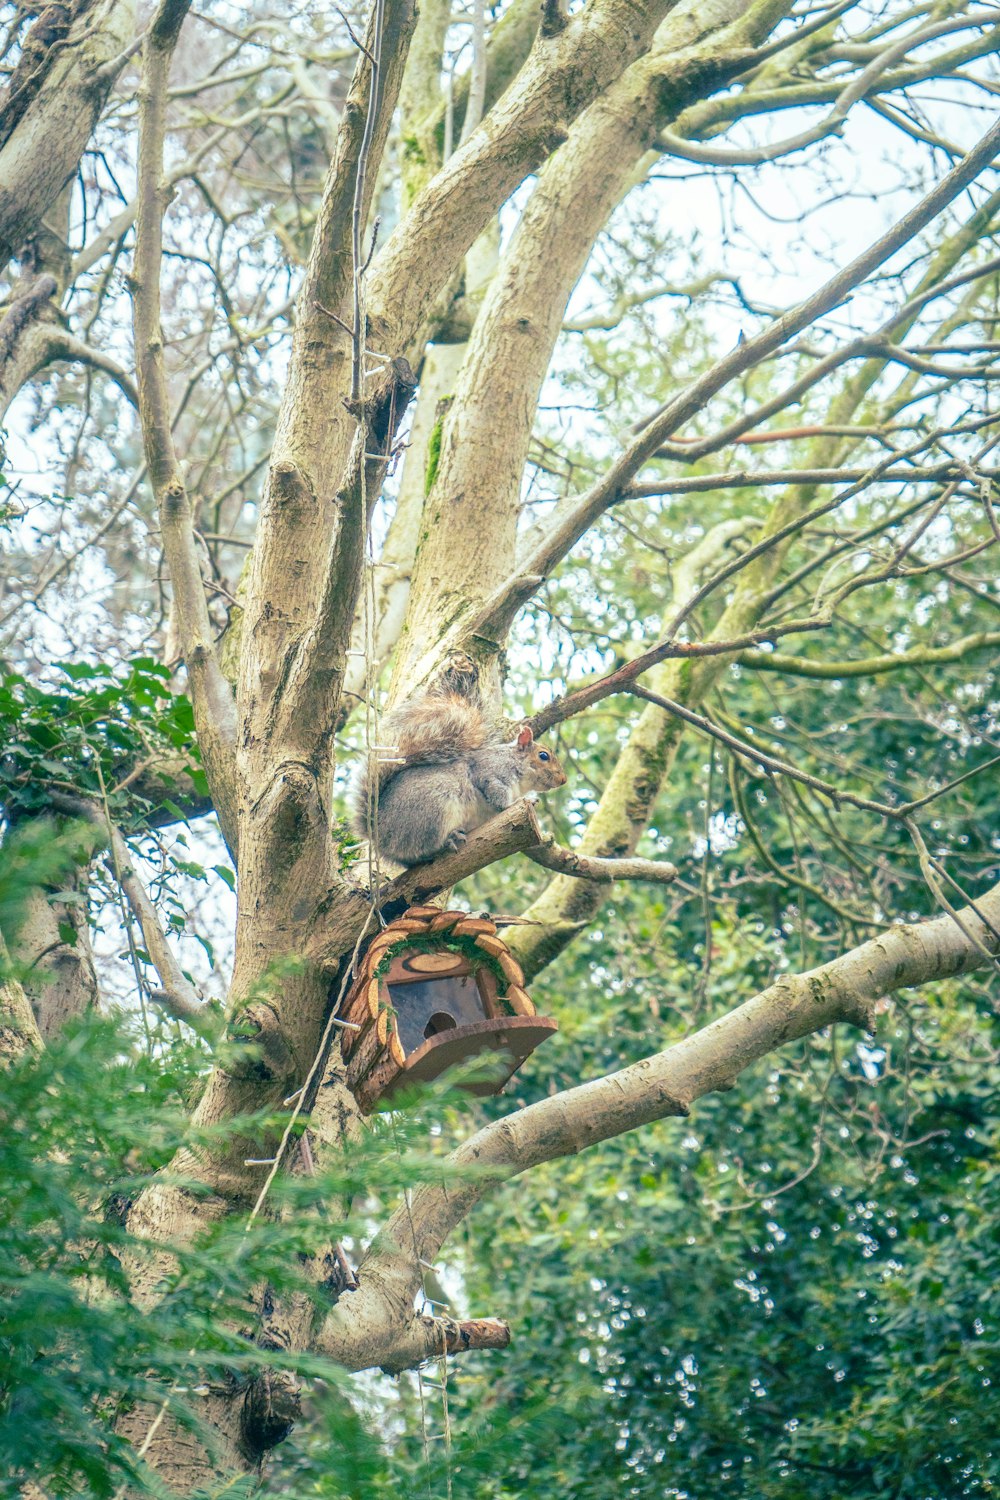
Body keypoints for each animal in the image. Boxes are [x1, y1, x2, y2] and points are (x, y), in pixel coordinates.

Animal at [353, 660, 569, 870]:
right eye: (543, 755)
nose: (563, 779)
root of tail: (379, 831)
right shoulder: (491, 772)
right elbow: (497, 796)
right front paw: (517, 803)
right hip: (433, 811)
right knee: (422, 846)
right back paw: (448, 841)